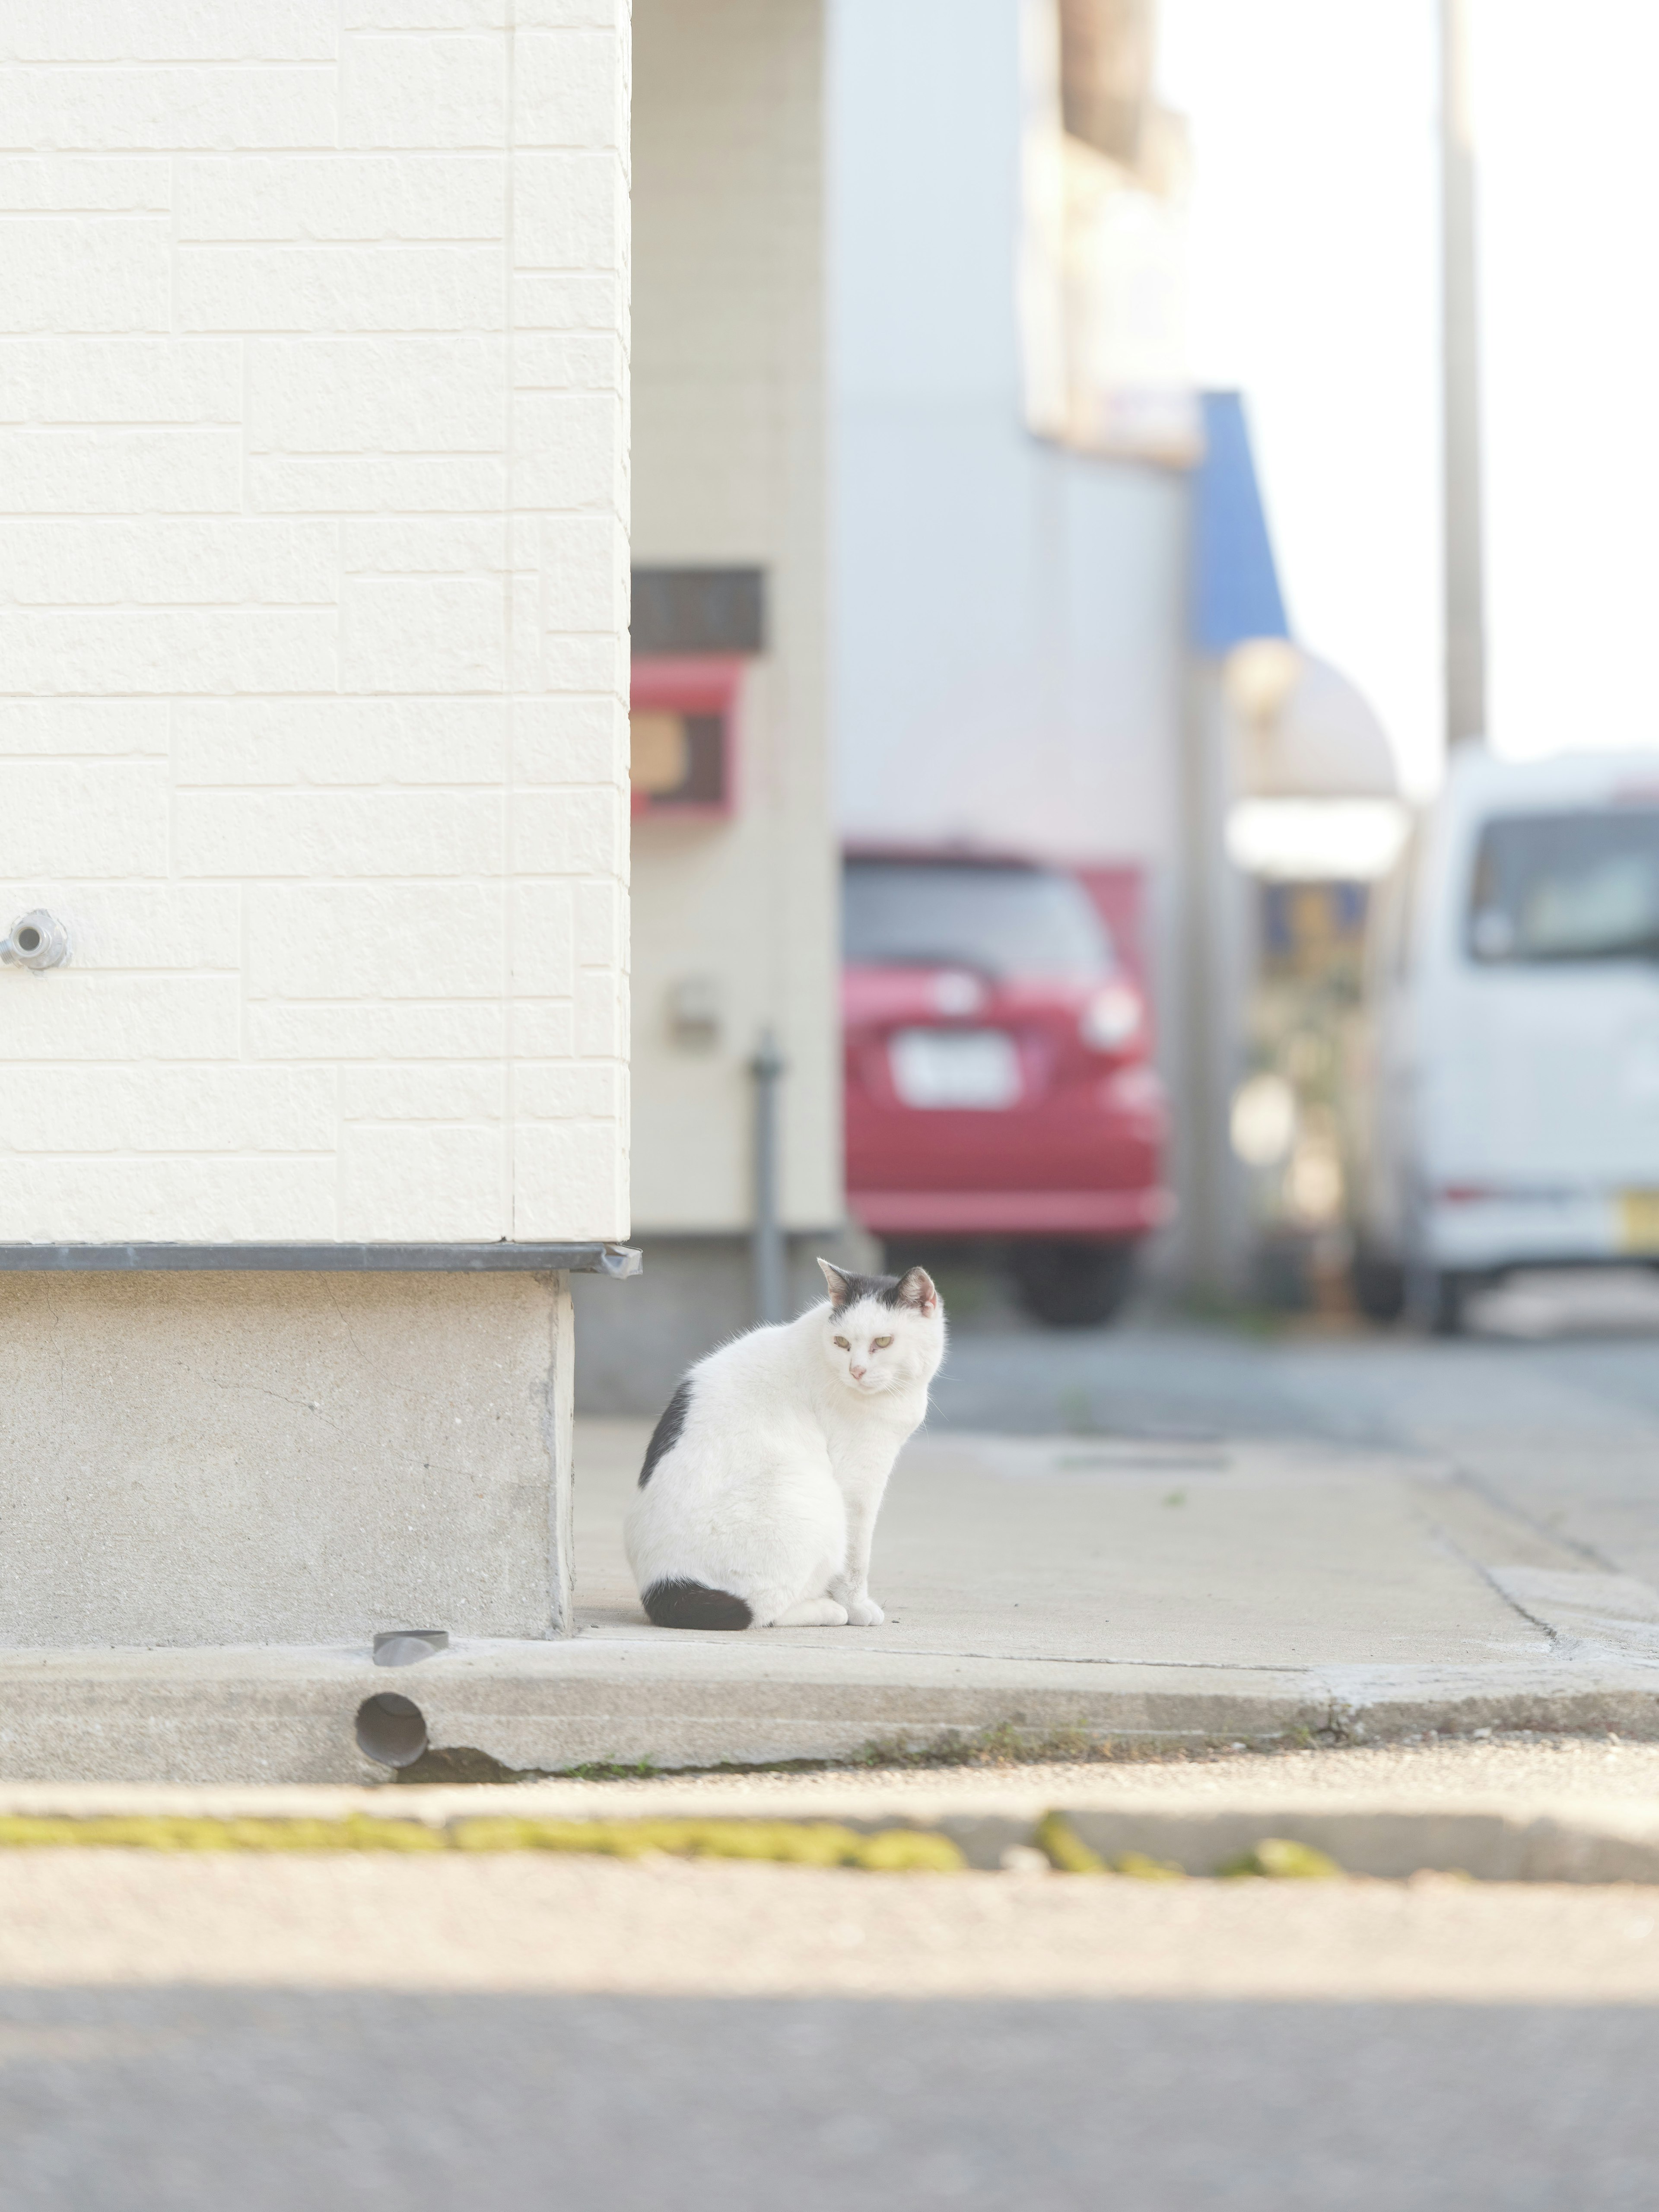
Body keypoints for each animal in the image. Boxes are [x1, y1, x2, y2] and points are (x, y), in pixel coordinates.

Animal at [628, 1265, 947, 1628]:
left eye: (883, 1341)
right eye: (842, 1343)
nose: (856, 1370)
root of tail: (662, 1585)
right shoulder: (857, 1484)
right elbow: (855, 1559)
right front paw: (856, 1607)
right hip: (814, 1499)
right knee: (762, 1612)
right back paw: (827, 1610)